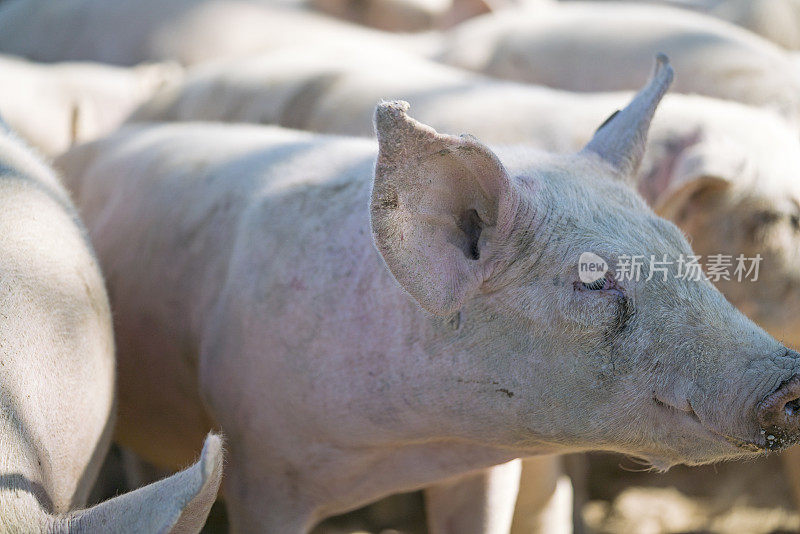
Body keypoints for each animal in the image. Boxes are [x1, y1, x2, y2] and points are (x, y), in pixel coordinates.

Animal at [57, 56, 800, 532]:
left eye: (682, 248)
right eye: (592, 281)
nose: (790, 376)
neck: (413, 446)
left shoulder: (484, 473)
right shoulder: (258, 465)